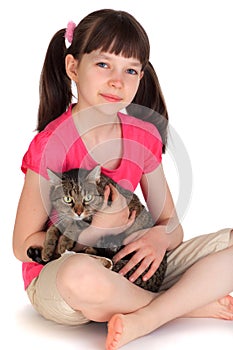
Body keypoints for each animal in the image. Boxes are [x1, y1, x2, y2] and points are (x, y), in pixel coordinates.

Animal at [27, 165, 167, 292]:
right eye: (67, 199)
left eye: (88, 197)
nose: (78, 212)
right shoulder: (64, 217)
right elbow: (52, 228)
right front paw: (47, 248)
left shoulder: (92, 217)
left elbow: (74, 225)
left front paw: (64, 242)